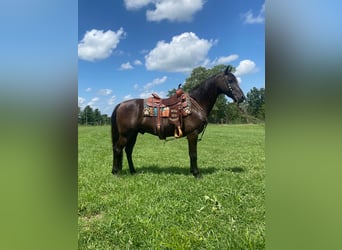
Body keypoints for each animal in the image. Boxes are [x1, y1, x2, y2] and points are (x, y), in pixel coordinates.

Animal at [111, 65, 244, 179]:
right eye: (230, 80)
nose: (242, 97)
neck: (196, 104)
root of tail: (121, 104)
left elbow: (190, 154)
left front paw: (192, 171)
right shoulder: (193, 134)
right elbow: (193, 154)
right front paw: (197, 174)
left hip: (133, 134)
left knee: (127, 151)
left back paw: (132, 171)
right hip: (126, 135)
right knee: (117, 149)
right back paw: (117, 173)